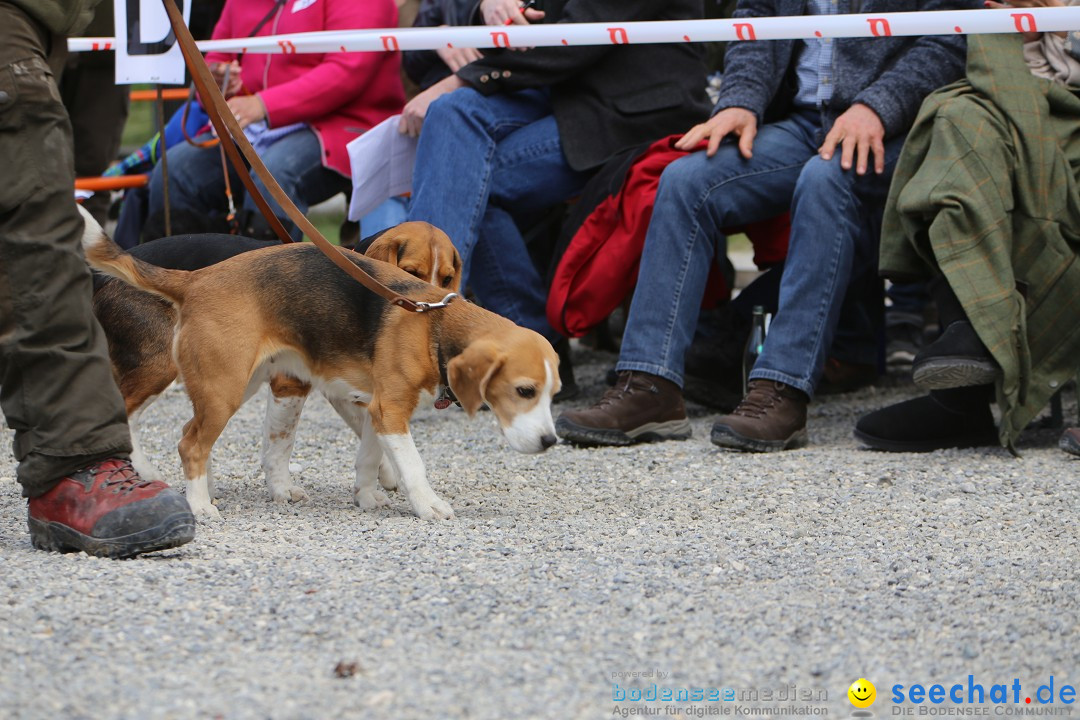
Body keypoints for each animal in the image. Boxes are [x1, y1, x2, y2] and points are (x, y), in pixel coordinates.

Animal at [79, 211, 561, 520]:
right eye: (523, 391)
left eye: (553, 394)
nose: (551, 441)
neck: (434, 324)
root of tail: (196, 279)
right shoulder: (385, 408)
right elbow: (410, 464)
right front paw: (427, 505)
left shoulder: (374, 406)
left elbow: (367, 455)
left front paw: (367, 497)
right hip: (208, 383)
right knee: (186, 441)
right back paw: (197, 504)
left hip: (237, 380)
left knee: (190, 434)